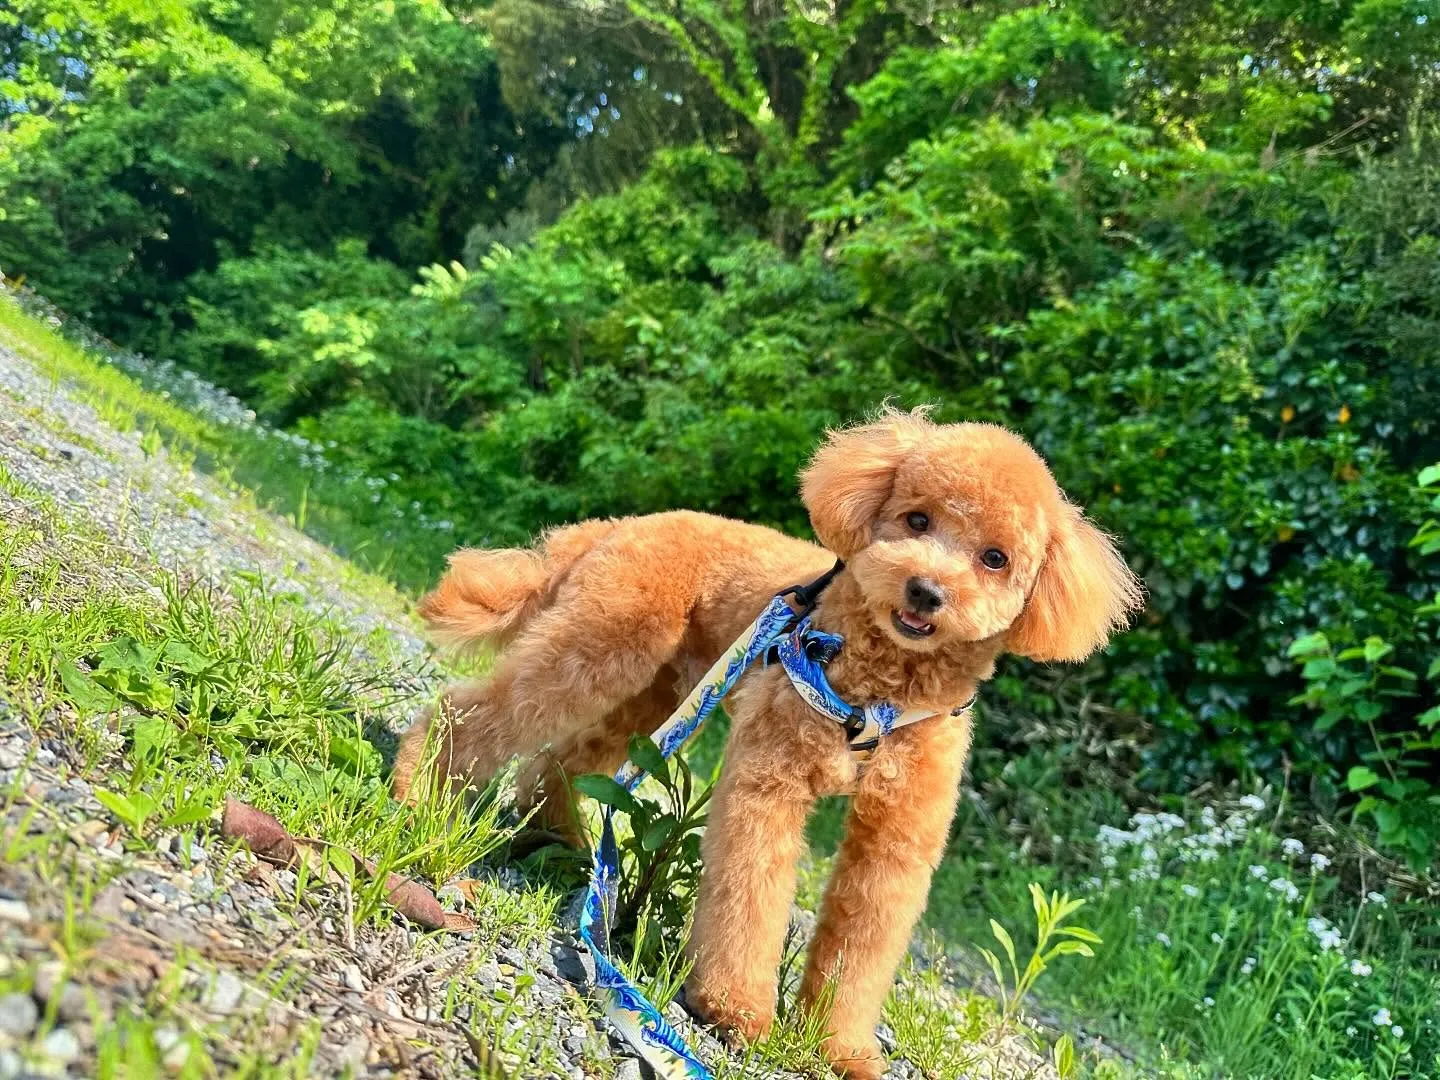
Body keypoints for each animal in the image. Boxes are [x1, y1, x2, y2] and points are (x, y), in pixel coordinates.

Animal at [391, 408, 1134, 1077]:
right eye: (917, 520)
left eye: (995, 559)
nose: (925, 590)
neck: (881, 683)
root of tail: (621, 526)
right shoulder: (770, 778)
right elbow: (750, 892)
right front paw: (736, 1010)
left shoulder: (897, 838)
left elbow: (863, 941)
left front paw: (842, 1049)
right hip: (601, 646)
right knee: (474, 713)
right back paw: (416, 790)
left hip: (652, 686)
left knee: (568, 759)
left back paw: (564, 843)